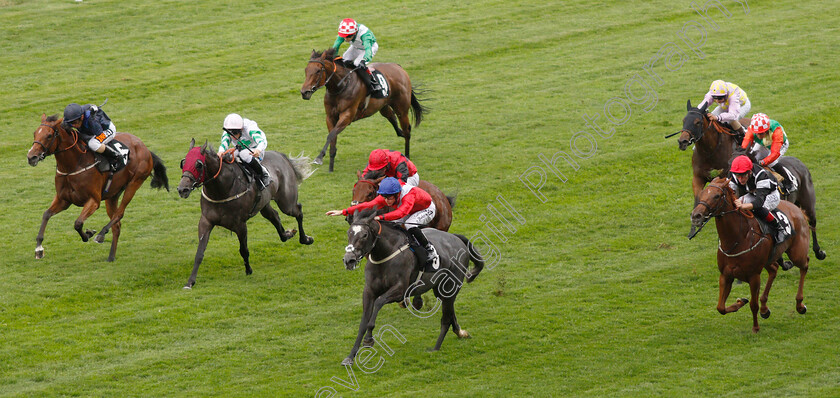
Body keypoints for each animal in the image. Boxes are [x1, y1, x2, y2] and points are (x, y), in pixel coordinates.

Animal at [26, 112, 168, 262]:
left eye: (48, 135)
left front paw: (89, 234)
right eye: (35, 133)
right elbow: (46, 214)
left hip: (134, 183)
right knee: (117, 225)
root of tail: (145, 148)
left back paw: (101, 235)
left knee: (119, 214)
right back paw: (111, 256)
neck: (74, 165)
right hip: (112, 195)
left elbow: (78, 223)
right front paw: (39, 248)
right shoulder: (63, 200)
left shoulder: (93, 201)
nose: (31, 157)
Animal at [176, 138, 314, 288]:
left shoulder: (240, 225)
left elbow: (244, 250)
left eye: (198, 164)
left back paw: (305, 239)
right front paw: (190, 282)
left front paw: (248, 270)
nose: (182, 189)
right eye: (183, 162)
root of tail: (282, 156)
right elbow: (199, 253)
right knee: (275, 216)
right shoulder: (206, 221)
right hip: (264, 204)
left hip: (286, 203)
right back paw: (287, 234)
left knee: (298, 210)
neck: (222, 189)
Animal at [340, 210, 486, 366]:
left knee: (446, 318)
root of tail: (456, 238)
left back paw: (436, 348)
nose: (349, 260)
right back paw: (460, 332)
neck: (385, 254)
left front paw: (368, 339)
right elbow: (363, 322)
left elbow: (379, 303)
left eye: (365, 235)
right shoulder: (368, 292)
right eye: (349, 233)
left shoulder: (400, 291)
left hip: (451, 286)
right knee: (450, 312)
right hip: (440, 289)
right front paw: (350, 356)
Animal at [688, 177, 808, 332]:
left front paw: (755, 328)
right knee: (774, 270)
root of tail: (797, 209)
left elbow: (753, 304)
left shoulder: (753, 276)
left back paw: (799, 305)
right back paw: (765, 308)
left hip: (796, 252)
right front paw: (740, 302)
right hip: (769, 259)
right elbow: (720, 307)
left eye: (717, 196)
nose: (696, 216)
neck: (737, 239)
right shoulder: (725, 275)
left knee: (804, 265)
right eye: (702, 193)